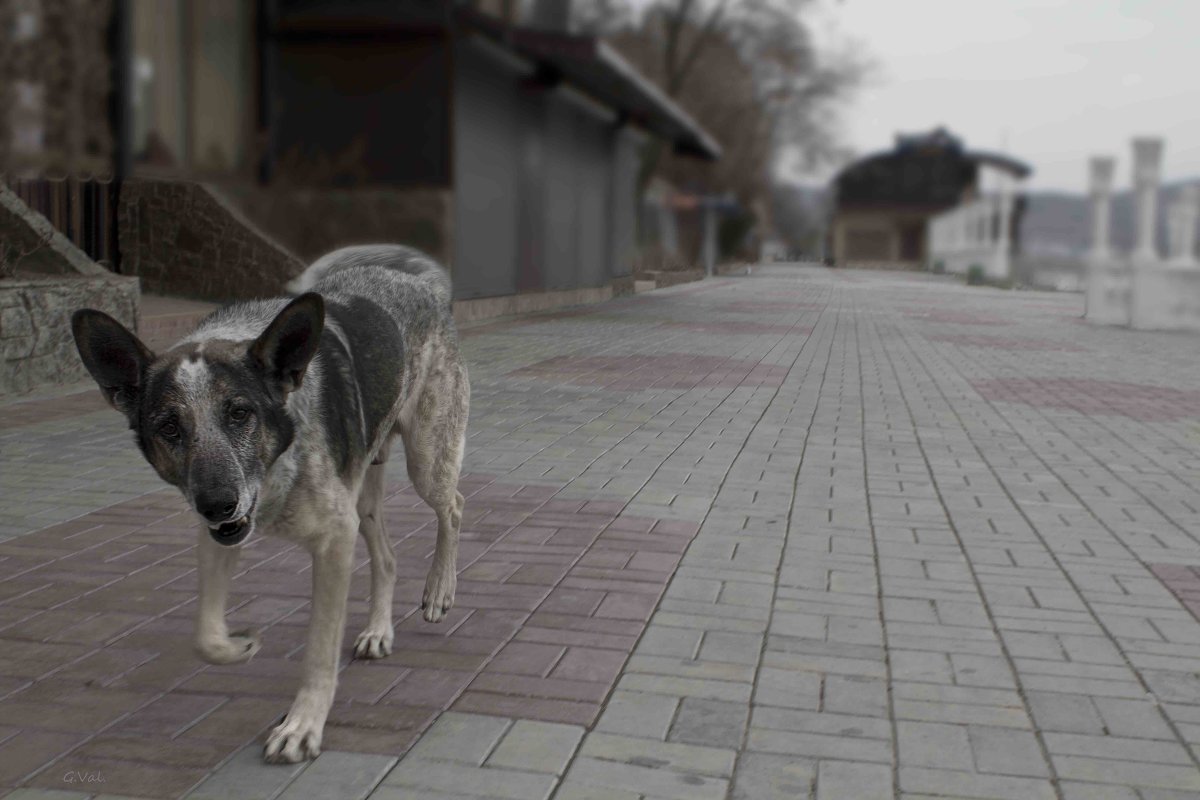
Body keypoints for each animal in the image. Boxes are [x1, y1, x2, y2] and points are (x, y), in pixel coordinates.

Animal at [69, 244, 472, 762]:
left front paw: (302, 726)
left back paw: (440, 590)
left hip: (426, 461)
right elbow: (205, 635)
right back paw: (379, 631)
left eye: (240, 413)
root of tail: (423, 285)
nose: (216, 505)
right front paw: (239, 646)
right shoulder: (220, 537)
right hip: (363, 496)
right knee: (387, 557)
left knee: (453, 505)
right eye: (169, 427)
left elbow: (319, 649)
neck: (278, 469)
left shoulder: (333, 540)